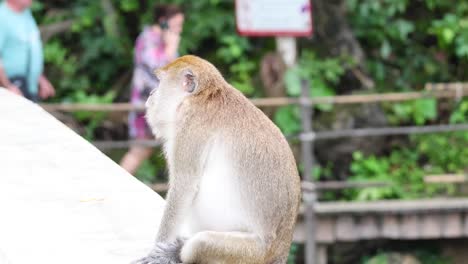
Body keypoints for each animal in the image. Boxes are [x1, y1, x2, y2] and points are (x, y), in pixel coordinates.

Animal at [133, 54, 300, 262]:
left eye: (160, 81)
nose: (151, 93)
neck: (201, 95)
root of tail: (280, 252)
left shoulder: (190, 123)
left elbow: (184, 185)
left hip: (250, 253)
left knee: (200, 243)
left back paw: (177, 252)